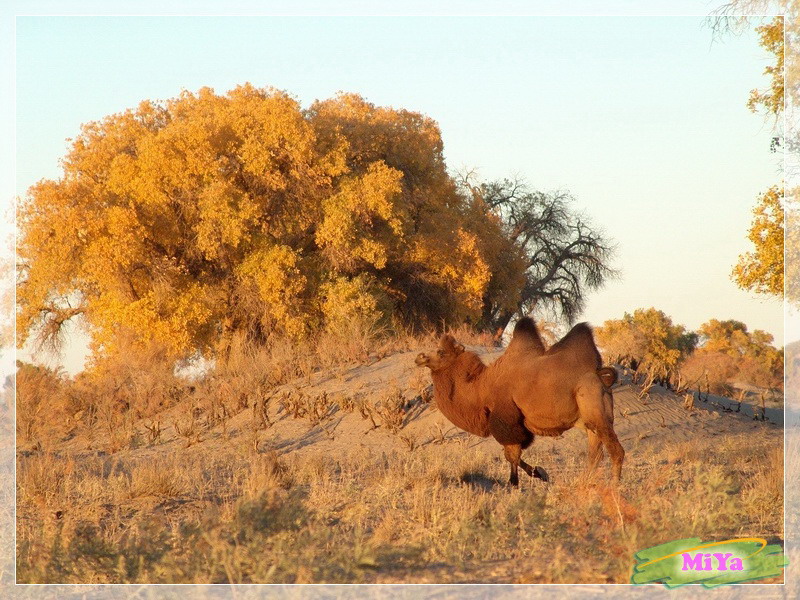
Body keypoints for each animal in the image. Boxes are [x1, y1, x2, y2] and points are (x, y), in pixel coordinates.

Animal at [416, 318, 620, 482]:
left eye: (441, 352)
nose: (420, 357)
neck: (481, 388)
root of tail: (600, 376)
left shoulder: (507, 419)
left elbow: (512, 455)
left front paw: (517, 483)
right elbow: (512, 455)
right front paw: (540, 473)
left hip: (594, 408)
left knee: (615, 451)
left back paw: (614, 487)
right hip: (589, 421)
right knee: (595, 454)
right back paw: (584, 484)